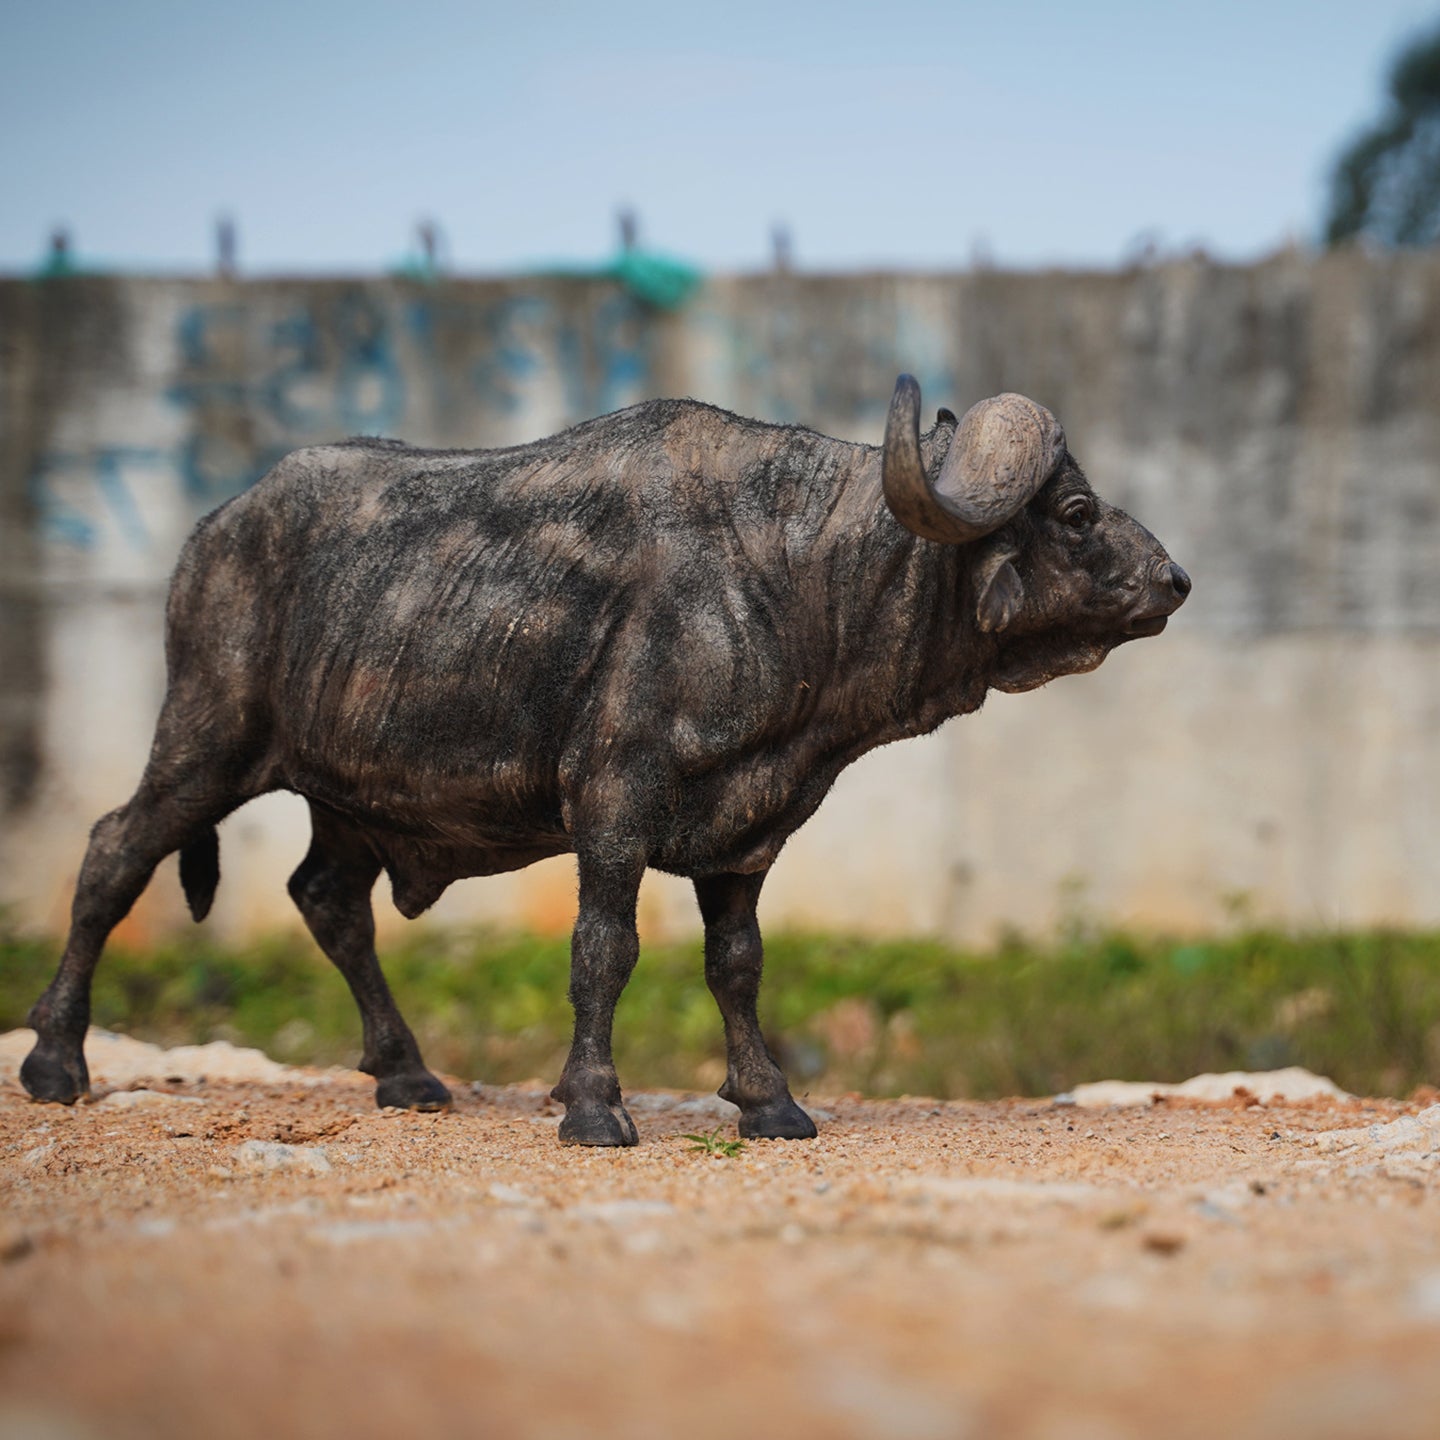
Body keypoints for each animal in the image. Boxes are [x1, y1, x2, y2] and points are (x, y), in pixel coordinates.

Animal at [22, 377, 1192, 1140]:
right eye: (1077, 512)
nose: (1175, 578)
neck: (789, 575)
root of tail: (213, 534)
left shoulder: (749, 830)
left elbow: (737, 962)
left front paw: (769, 1101)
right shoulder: (614, 801)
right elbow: (604, 948)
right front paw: (592, 1103)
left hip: (348, 797)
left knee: (327, 898)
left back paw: (407, 1073)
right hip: (207, 738)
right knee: (113, 853)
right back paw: (54, 1056)